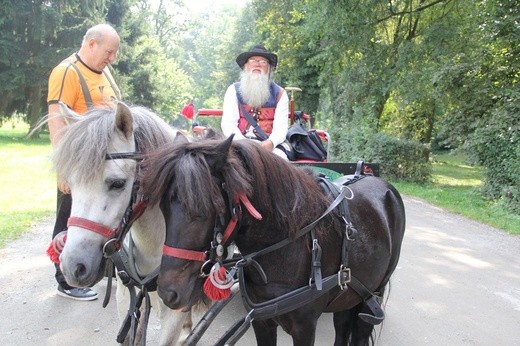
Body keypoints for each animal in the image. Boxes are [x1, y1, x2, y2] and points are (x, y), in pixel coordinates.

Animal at [141, 136, 406, 346]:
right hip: (348, 294)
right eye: (163, 208)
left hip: (373, 293)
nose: (167, 292)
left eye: (202, 210)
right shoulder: (262, 322)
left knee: (360, 330)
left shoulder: (304, 328)